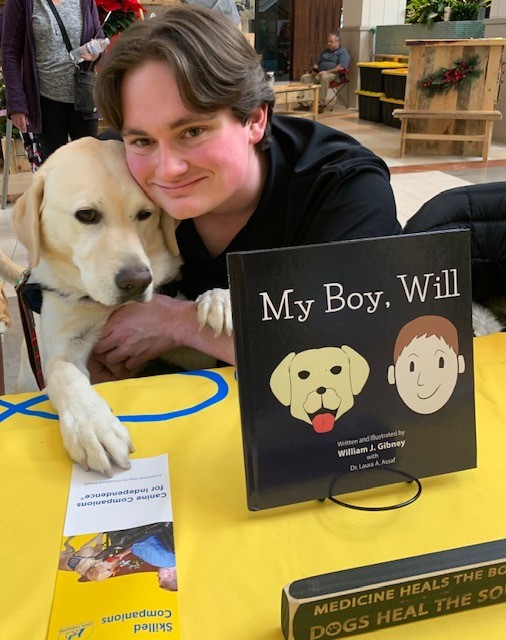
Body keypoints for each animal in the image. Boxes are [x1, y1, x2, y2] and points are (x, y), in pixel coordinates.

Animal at [0, 139, 230, 476]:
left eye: (145, 214)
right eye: (86, 214)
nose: (137, 281)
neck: (101, 307)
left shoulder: (194, 354)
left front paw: (219, 299)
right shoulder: (63, 349)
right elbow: (63, 374)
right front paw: (91, 427)